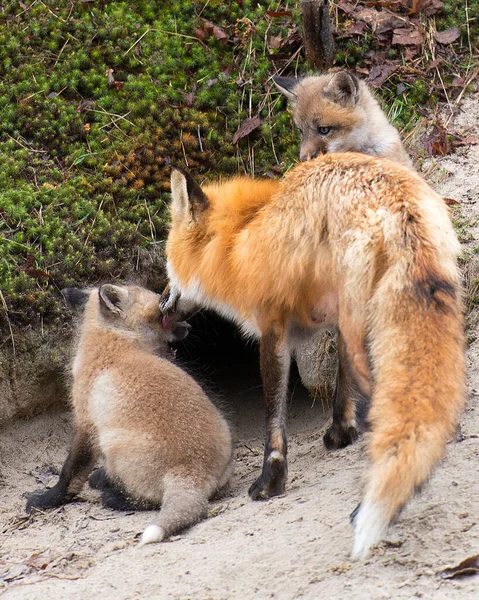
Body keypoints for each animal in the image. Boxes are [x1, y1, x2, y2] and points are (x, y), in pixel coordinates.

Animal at [26, 284, 232, 544]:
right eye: (162, 315)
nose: (190, 327)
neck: (114, 342)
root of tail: (193, 471)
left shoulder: (86, 424)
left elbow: (70, 473)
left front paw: (45, 500)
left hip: (113, 443)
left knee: (146, 499)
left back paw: (113, 496)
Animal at [163, 155, 466, 556]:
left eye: (168, 264)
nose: (161, 301)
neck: (242, 237)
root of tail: (396, 205)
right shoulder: (335, 321)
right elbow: (341, 389)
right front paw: (340, 433)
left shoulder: (273, 327)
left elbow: (274, 417)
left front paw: (271, 482)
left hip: (366, 329)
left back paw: (363, 509)